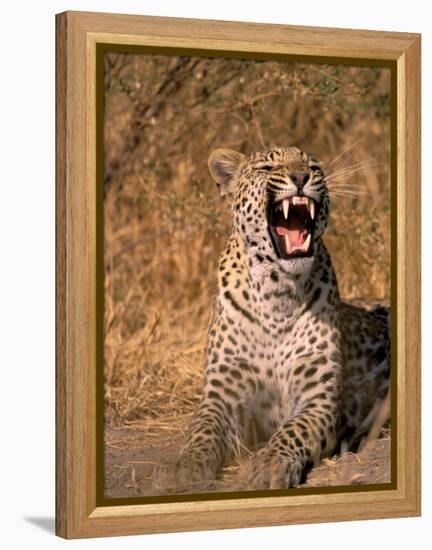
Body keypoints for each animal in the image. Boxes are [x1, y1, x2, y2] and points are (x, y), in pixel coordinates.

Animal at [153, 144, 392, 494]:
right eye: (267, 168)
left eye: (313, 167)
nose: (301, 177)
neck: (277, 293)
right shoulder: (222, 395)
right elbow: (202, 429)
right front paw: (184, 466)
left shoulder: (317, 399)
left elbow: (294, 429)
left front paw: (269, 463)